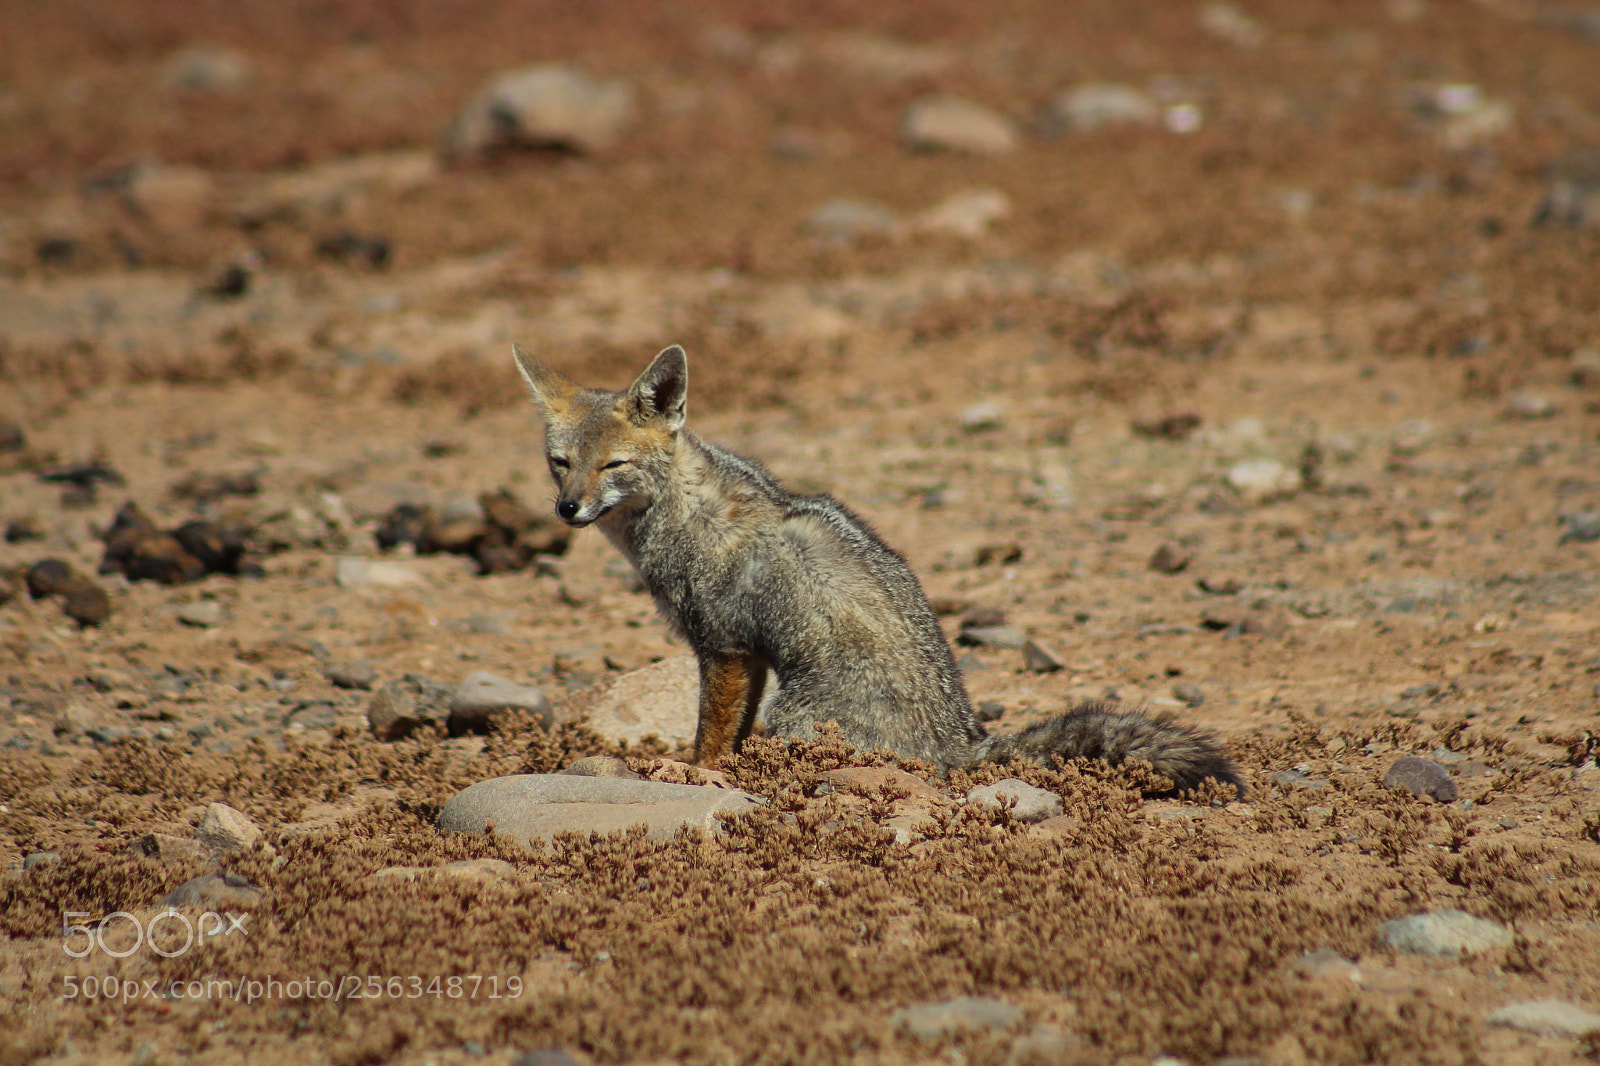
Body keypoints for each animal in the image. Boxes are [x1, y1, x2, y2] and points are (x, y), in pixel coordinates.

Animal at [511, 343, 1245, 795]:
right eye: (560, 463)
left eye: (614, 465)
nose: (568, 509)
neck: (680, 510)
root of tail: (959, 746)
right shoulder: (746, 657)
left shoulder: (723, 646)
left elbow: (710, 739)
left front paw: (699, 775)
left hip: (795, 712)